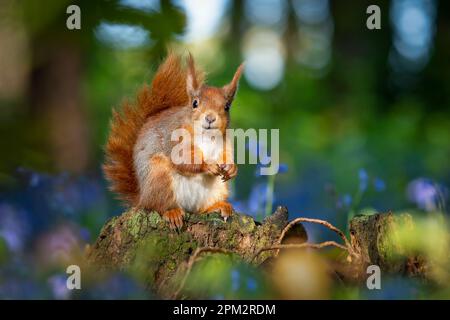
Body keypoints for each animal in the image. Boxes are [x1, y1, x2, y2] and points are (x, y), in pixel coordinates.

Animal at [103, 52, 244, 229]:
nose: (210, 118)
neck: (206, 136)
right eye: (195, 103)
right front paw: (207, 165)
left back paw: (219, 206)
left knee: (202, 208)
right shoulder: (174, 138)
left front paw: (232, 168)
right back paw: (172, 213)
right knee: (158, 206)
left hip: (218, 188)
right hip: (159, 176)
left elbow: (226, 156)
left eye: (226, 107)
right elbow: (183, 160)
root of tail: (142, 198)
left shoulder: (225, 144)